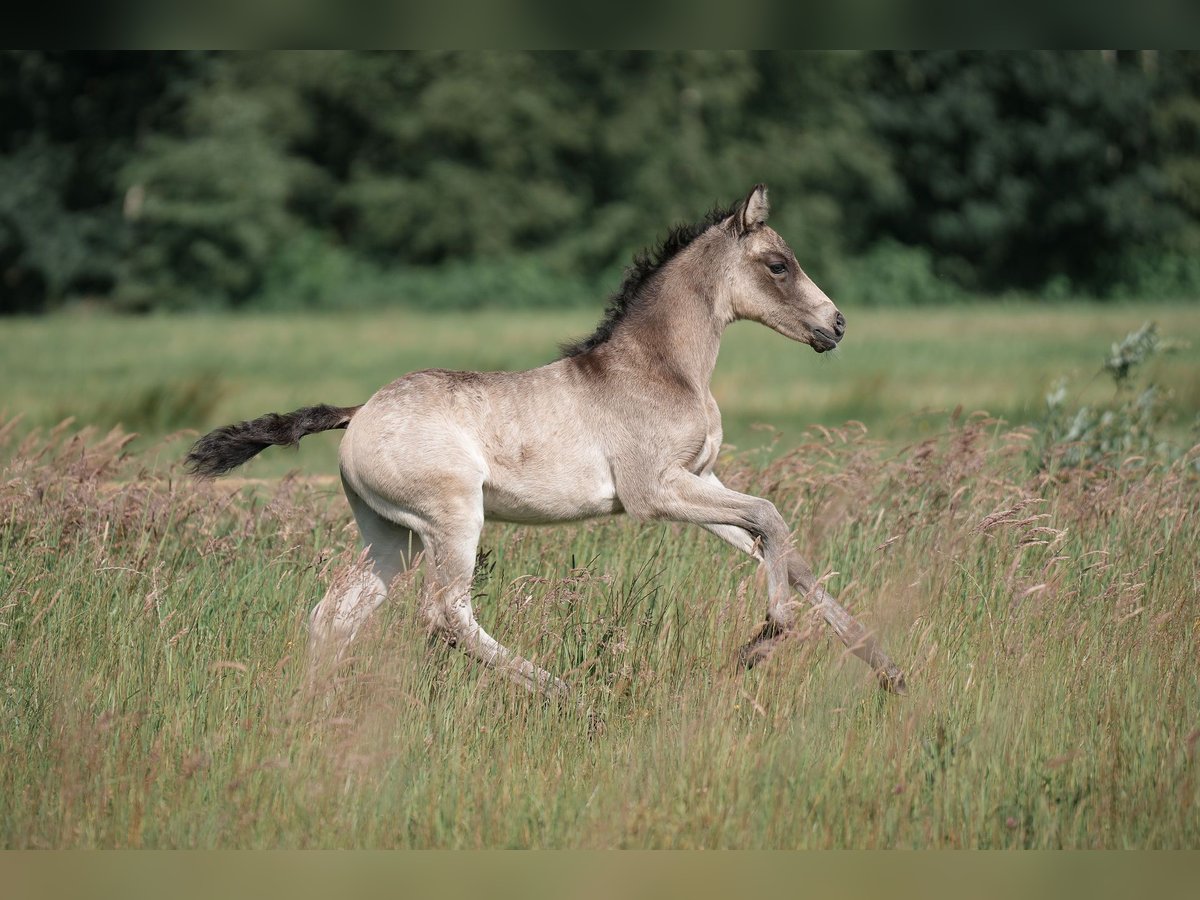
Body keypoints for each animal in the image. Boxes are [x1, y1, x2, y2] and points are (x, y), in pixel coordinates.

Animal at [187, 184, 902, 696]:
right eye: (779, 265)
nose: (837, 324)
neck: (662, 366)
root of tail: (359, 412)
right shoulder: (656, 493)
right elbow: (771, 518)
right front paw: (764, 641)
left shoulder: (702, 480)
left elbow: (780, 545)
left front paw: (885, 667)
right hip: (452, 521)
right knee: (446, 615)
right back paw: (571, 695)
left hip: (393, 537)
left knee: (336, 614)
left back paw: (316, 713)